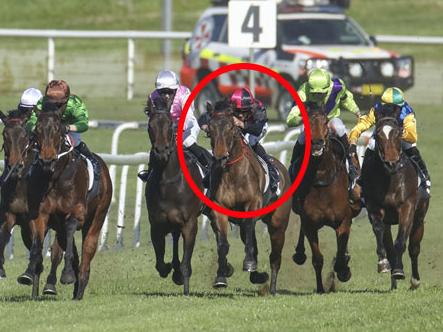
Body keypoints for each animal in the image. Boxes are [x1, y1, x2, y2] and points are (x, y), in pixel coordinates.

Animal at [22, 105, 112, 300]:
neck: (55, 177)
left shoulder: (77, 213)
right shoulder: (41, 214)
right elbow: (37, 244)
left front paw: (68, 275)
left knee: (87, 250)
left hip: (98, 216)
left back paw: (79, 288)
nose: (47, 160)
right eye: (37, 130)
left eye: (58, 129)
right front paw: (29, 273)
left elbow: (71, 232)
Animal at [146, 97, 208, 294]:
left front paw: (183, 280)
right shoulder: (156, 223)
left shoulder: (190, 223)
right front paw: (169, 268)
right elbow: (159, 262)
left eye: (171, 125)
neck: (168, 181)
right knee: (174, 237)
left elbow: (186, 263)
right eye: (150, 126)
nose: (161, 152)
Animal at [207, 100, 294, 294]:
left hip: (278, 223)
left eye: (231, 127)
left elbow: (248, 232)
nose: (221, 156)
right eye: (210, 129)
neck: (233, 174)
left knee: (275, 255)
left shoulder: (252, 204)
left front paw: (248, 263)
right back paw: (257, 276)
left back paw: (272, 287)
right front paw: (221, 276)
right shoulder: (219, 210)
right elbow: (223, 244)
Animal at [292, 104, 360, 294]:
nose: (317, 143)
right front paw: (321, 288)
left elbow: (341, 251)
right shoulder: (310, 224)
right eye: (307, 122)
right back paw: (299, 253)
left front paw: (343, 270)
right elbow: (317, 258)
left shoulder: (344, 221)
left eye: (325, 121)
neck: (321, 178)